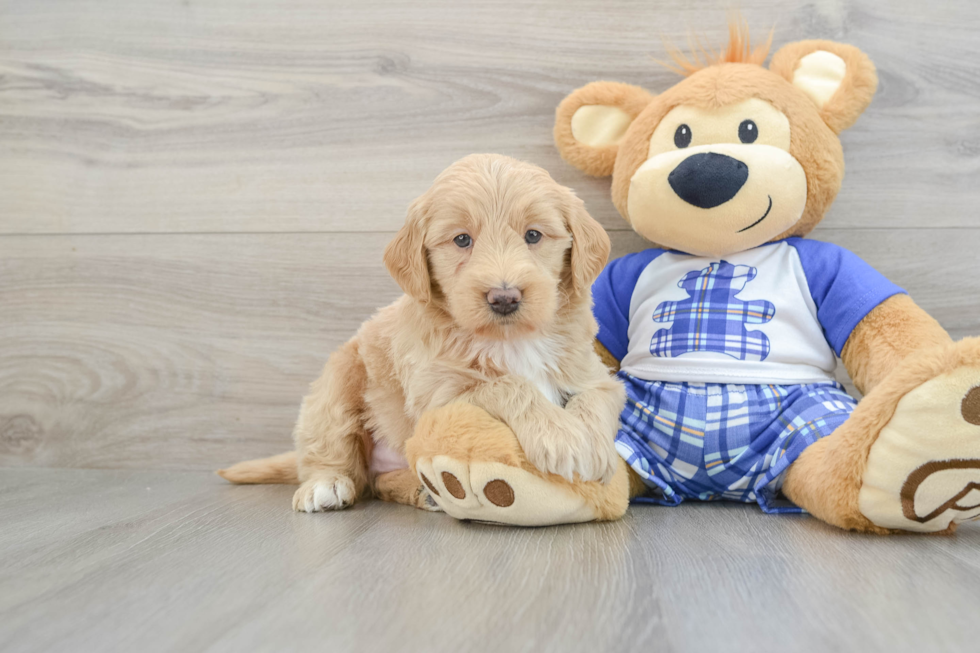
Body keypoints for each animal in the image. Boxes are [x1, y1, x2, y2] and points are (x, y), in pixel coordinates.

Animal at [219, 153, 624, 510]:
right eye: (462, 240)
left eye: (534, 235)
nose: (504, 298)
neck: (511, 339)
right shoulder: (438, 394)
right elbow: (504, 383)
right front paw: (561, 436)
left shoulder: (593, 372)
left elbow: (594, 398)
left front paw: (593, 445)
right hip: (338, 380)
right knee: (334, 453)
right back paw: (326, 484)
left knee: (378, 482)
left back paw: (424, 491)